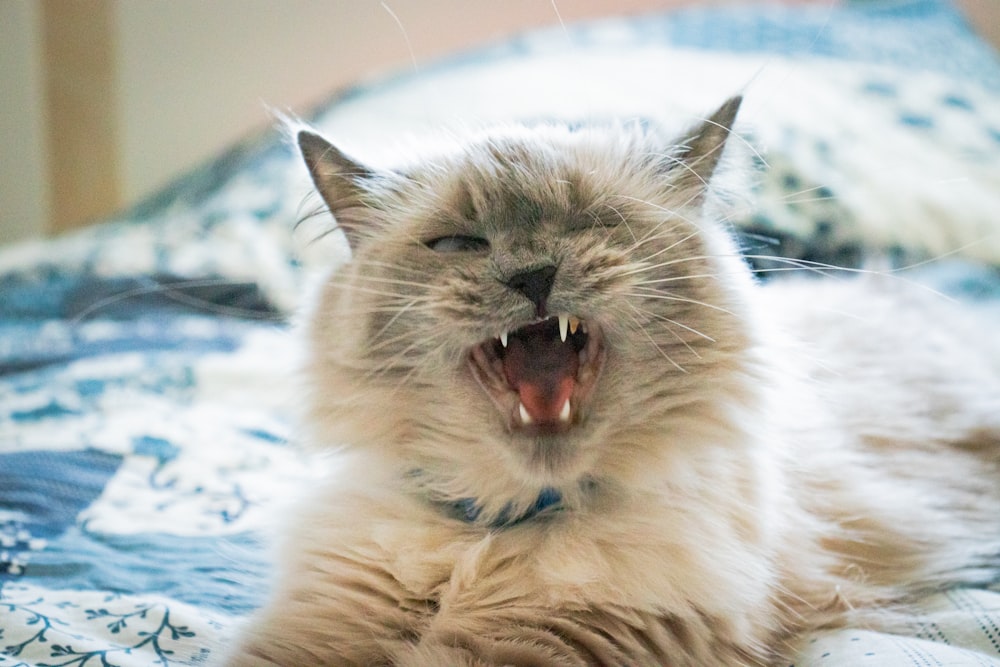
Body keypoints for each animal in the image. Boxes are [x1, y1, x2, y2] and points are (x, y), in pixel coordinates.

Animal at [225, 96, 1000, 664]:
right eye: (457, 244)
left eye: (591, 224)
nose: (533, 275)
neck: (500, 527)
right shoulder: (328, 619)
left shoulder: (561, 635)